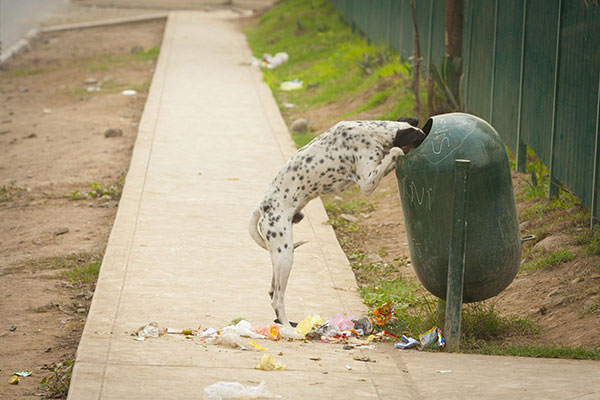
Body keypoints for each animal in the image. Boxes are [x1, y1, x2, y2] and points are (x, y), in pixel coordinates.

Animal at [251, 117, 424, 326]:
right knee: (277, 299)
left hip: (279, 254)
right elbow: (393, 153)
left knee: (272, 291)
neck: (374, 132)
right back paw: (288, 327)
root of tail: (261, 207)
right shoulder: (366, 182)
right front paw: (396, 151)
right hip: (285, 255)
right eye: (420, 140)